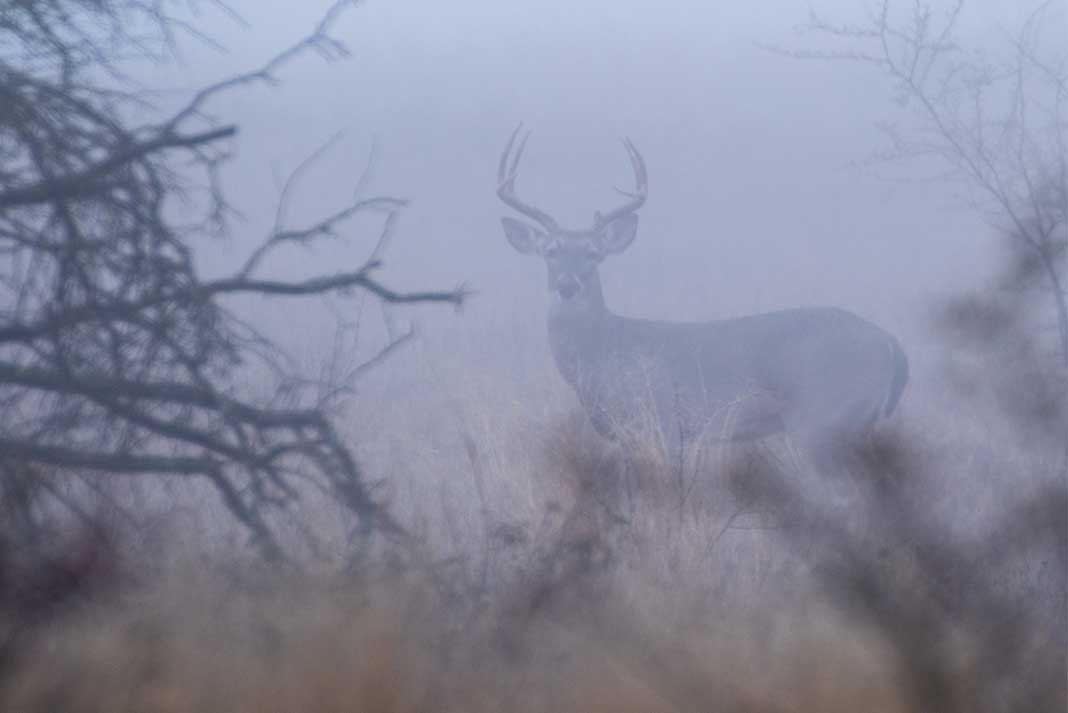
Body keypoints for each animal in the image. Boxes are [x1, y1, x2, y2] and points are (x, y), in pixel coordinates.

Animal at [496, 126, 909, 468]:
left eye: (594, 254)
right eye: (551, 251)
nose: (568, 285)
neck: (604, 353)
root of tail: (891, 343)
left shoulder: (663, 422)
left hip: (821, 420)